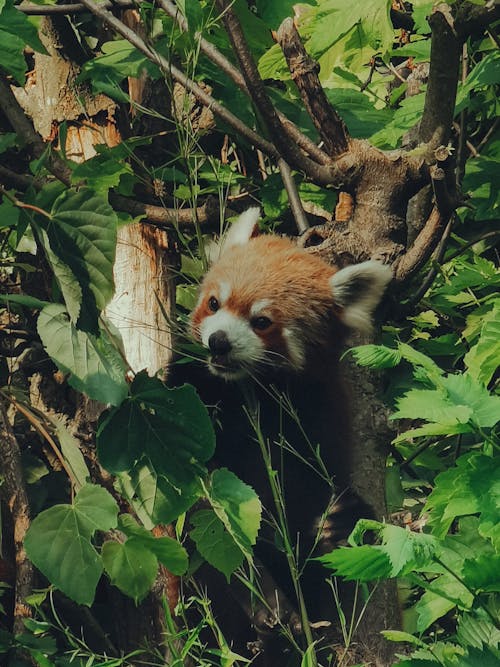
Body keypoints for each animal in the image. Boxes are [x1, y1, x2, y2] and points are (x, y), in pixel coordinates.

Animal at [175, 209, 390, 664]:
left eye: (261, 321)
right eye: (214, 303)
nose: (218, 341)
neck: (252, 392)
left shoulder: (317, 418)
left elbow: (308, 488)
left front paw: (336, 521)